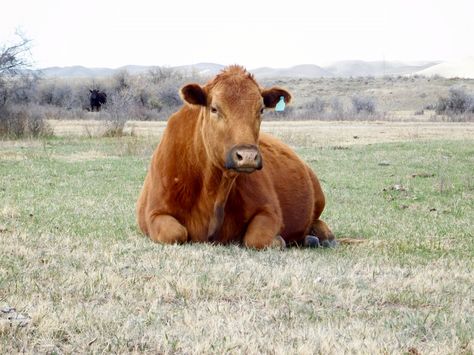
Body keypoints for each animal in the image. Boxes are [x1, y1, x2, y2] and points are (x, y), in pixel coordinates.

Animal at [137, 65, 336, 249]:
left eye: (261, 109)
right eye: (214, 109)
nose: (247, 156)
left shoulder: (270, 210)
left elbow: (256, 237)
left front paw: (279, 240)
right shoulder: (153, 213)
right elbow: (174, 233)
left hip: (318, 199)